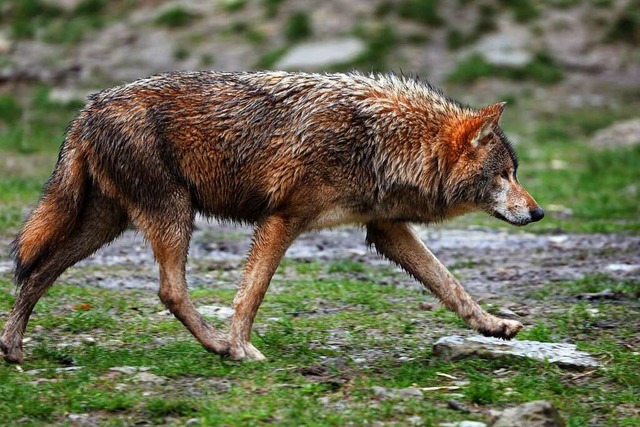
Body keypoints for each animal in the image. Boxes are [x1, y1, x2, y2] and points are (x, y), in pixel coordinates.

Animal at [1, 72, 544, 362]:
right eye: (506, 174)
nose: (539, 212)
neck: (382, 141)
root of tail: (85, 110)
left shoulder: (385, 229)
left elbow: (451, 285)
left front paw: (494, 326)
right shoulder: (283, 219)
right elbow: (252, 294)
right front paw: (241, 348)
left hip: (108, 224)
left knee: (38, 272)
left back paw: (13, 349)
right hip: (173, 215)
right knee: (169, 290)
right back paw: (219, 346)